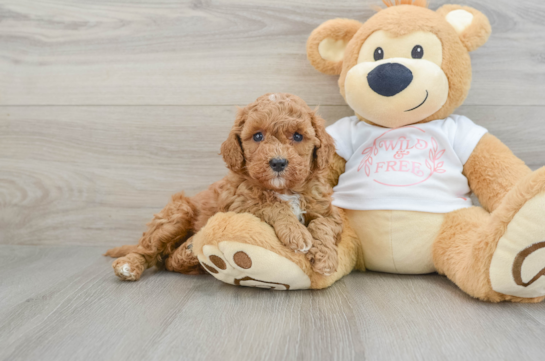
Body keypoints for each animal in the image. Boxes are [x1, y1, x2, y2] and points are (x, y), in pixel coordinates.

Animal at [104, 92, 342, 278]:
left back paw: (189, 251)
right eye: (258, 136)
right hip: (177, 213)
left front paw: (327, 258)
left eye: (298, 136)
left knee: (169, 261)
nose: (278, 162)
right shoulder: (239, 205)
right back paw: (129, 265)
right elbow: (272, 205)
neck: (284, 189)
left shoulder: (328, 211)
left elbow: (323, 224)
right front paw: (296, 233)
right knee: (149, 250)